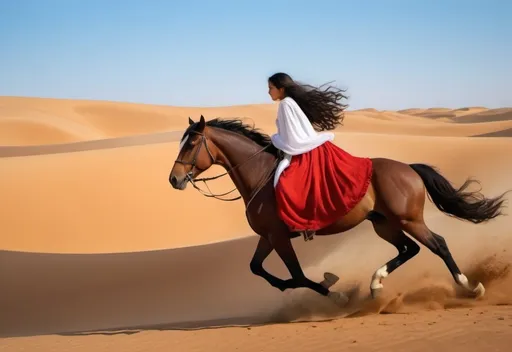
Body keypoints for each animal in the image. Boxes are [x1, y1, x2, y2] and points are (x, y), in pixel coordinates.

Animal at [169, 115, 508, 306]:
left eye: (191, 145)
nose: (174, 179)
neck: (261, 177)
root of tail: (409, 168)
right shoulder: (268, 237)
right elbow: (259, 269)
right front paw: (326, 284)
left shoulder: (279, 237)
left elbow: (297, 275)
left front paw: (335, 291)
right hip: (383, 223)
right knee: (408, 249)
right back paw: (375, 284)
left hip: (408, 219)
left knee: (438, 244)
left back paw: (469, 287)